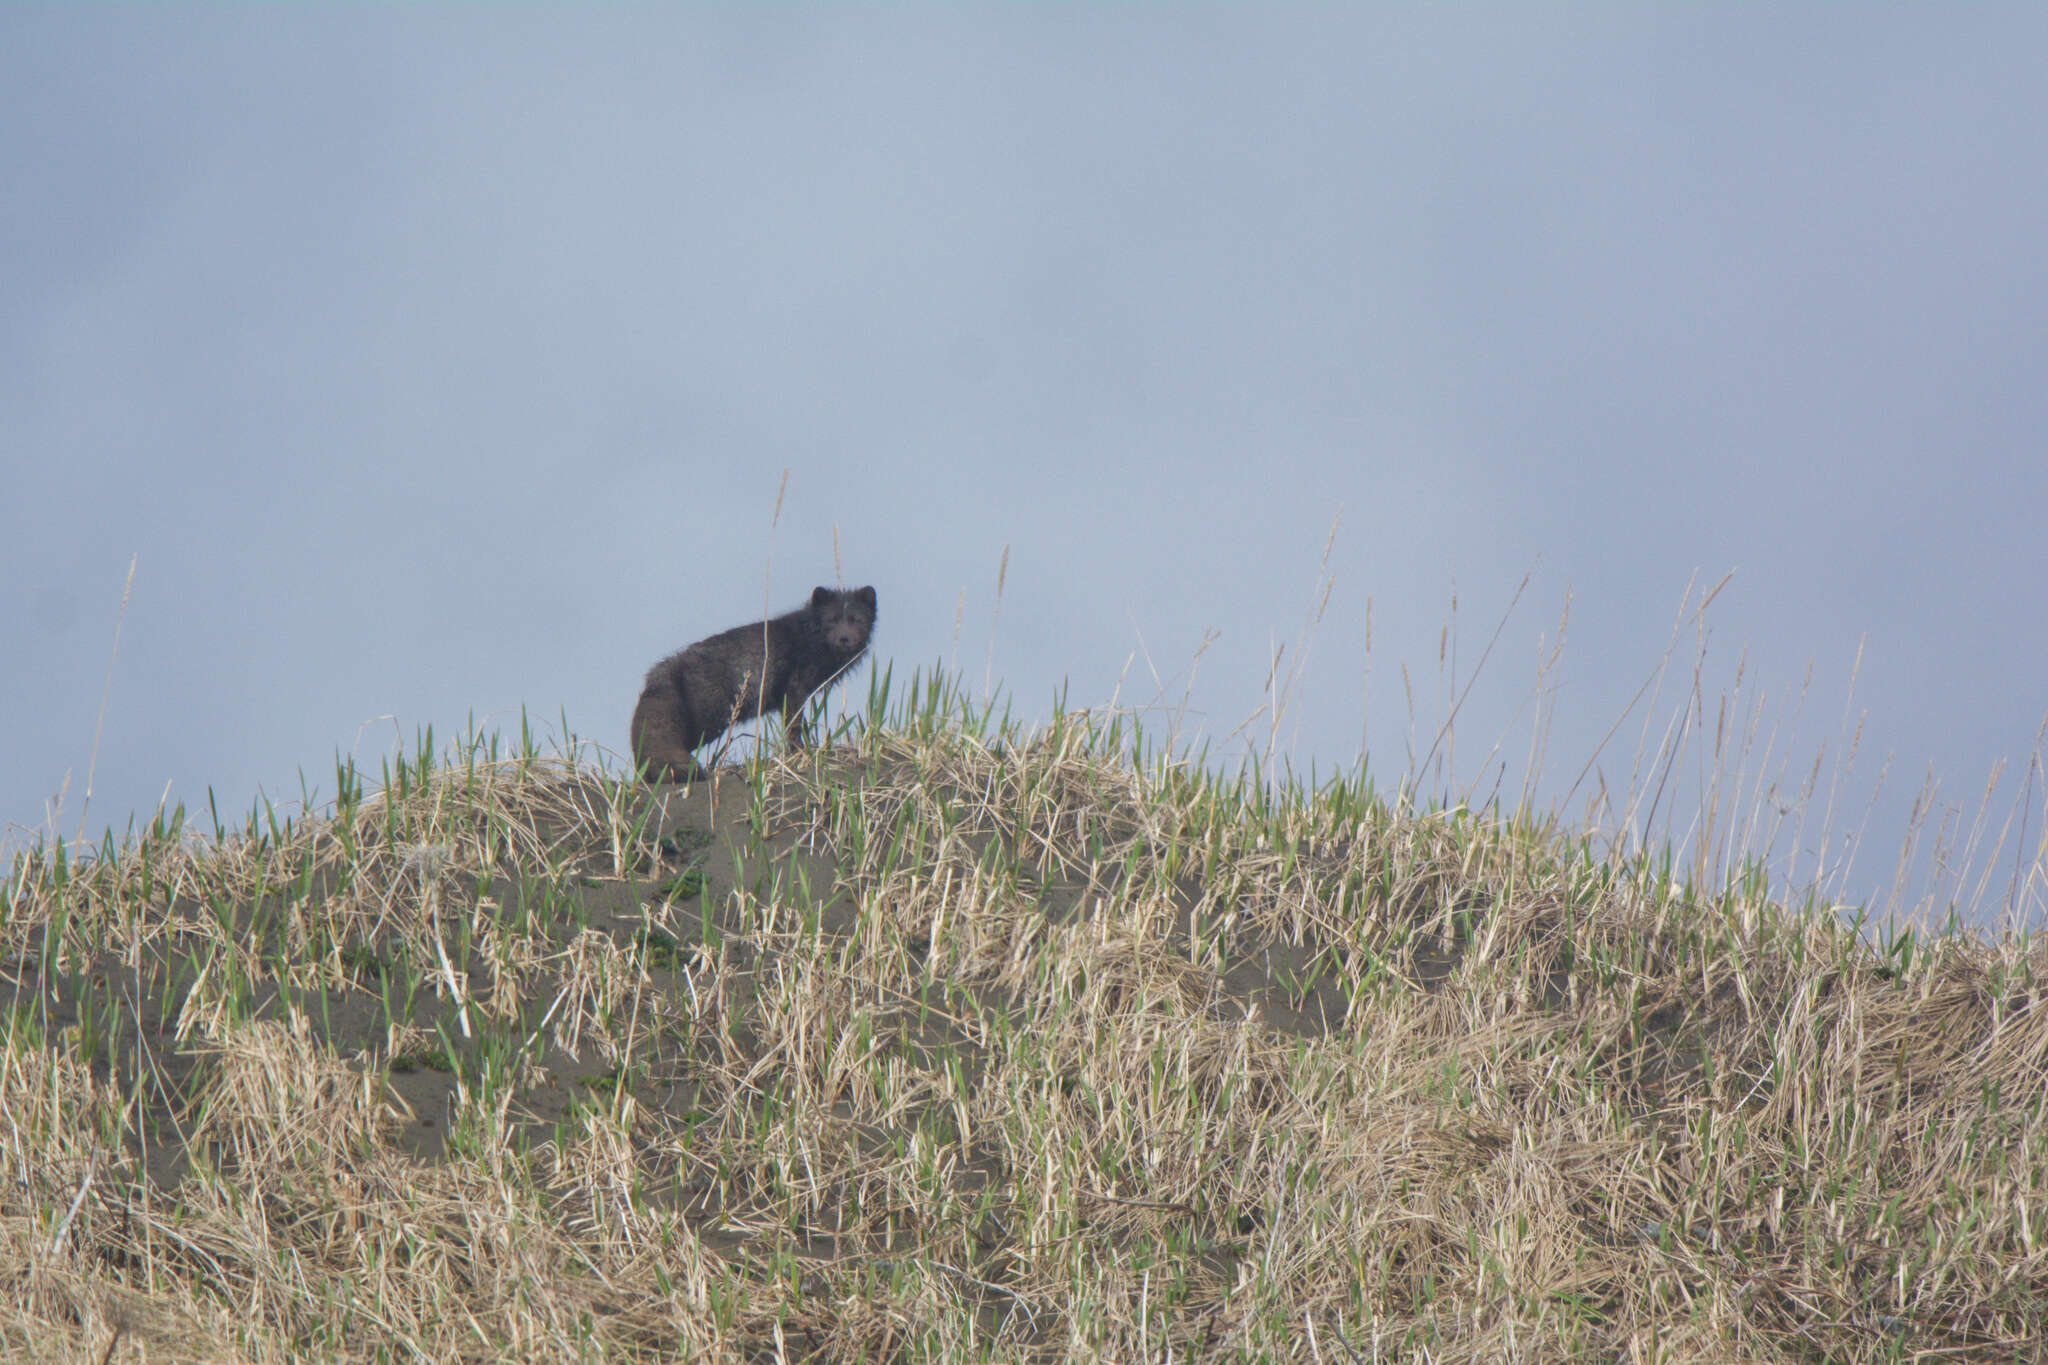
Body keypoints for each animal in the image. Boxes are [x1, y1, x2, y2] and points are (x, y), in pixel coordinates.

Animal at [626, 585, 876, 785]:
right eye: (831, 621)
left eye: (856, 620)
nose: (844, 639)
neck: (809, 638)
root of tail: (668, 666)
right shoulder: (794, 690)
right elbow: (794, 728)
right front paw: (801, 753)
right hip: (710, 720)